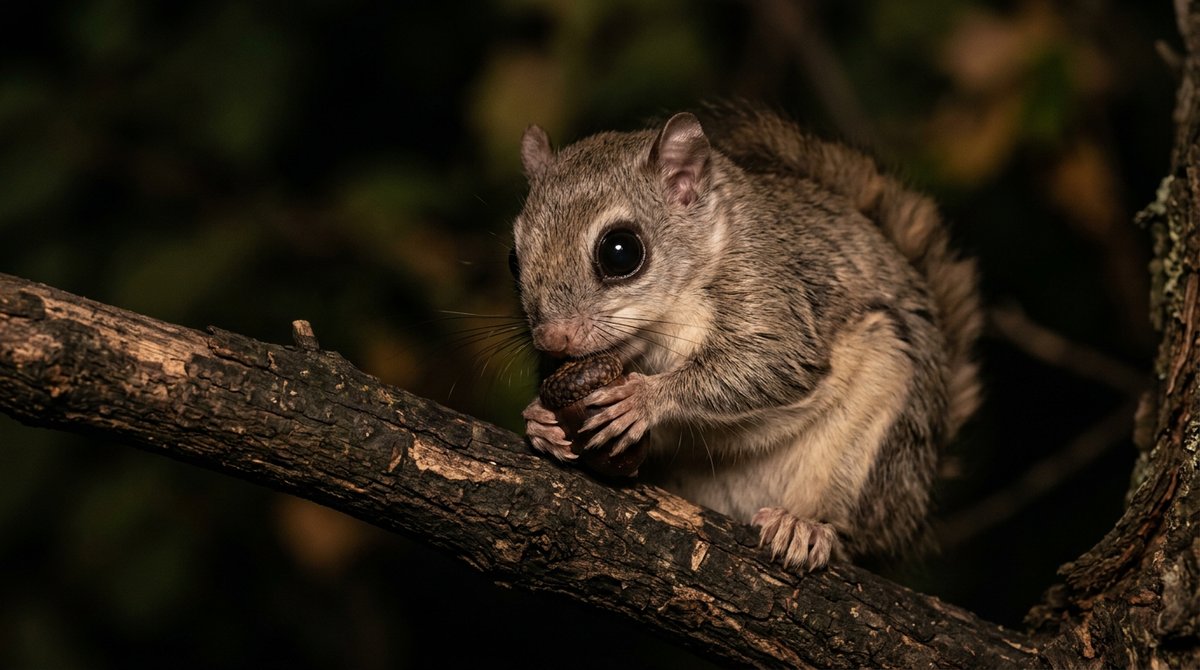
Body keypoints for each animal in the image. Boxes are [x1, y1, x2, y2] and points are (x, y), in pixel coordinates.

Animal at [510, 106, 981, 570]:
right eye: (514, 258)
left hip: (878, 426)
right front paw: (540, 421)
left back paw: (806, 526)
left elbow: (772, 360)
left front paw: (643, 399)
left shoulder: (769, 285)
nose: (553, 339)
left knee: (853, 529)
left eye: (620, 251)